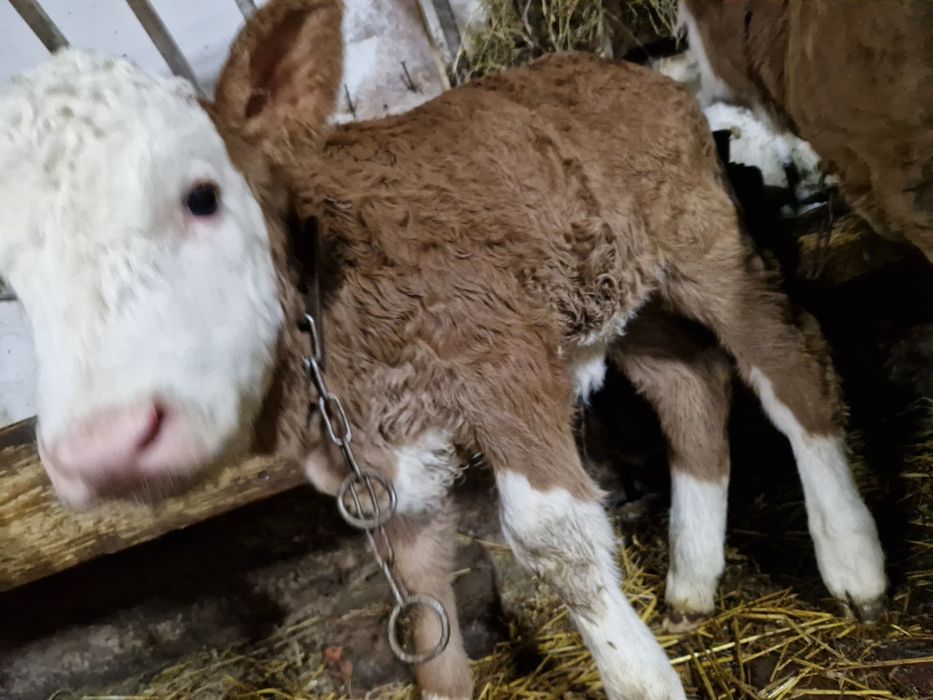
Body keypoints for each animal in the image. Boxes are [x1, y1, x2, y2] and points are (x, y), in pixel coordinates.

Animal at [0, 1, 884, 700]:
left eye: (203, 196)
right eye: (10, 274)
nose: (103, 446)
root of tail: (626, 69)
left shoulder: (501, 362)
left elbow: (553, 542)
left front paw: (639, 679)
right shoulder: (379, 469)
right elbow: (421, 615)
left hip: (700, 240)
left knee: (786, 359)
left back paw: (850, 560)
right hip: (607, 298)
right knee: (689, 381)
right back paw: (693, 580)